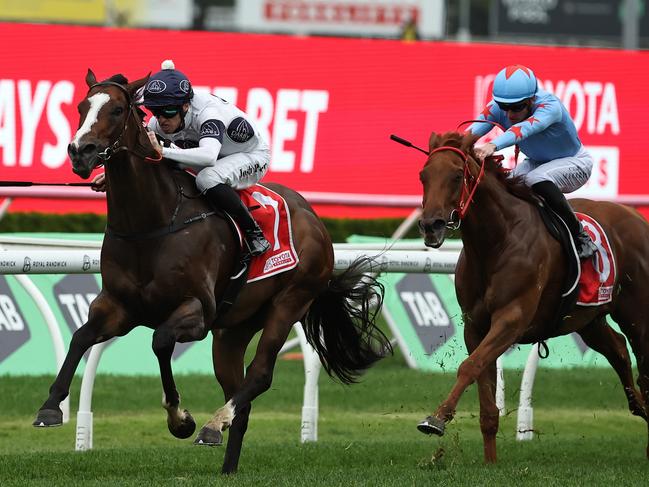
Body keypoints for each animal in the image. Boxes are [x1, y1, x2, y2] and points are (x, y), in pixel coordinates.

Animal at [33, 73, 390, 476]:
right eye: (82, 107)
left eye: (118, 109)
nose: (81, 151)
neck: (154, 223)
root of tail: (315, 220)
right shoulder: (118, 307)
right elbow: (81, 337)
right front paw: (50, 407)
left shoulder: (198, 312)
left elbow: (160, 341)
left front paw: (180, 419)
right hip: (232, 330)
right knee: (241, 396)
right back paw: (227, 464)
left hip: (290, 302)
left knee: (259, 374)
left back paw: (213, 424)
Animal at [416, 132, 648, 464]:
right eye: (423, 176)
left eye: (457, 176)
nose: (430, 226)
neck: (496, 241)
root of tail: (636, 216)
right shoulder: (475, 326)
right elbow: (482, 383)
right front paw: (490, 462)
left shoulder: (512, 319)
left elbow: (469, 367)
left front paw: (436, 419)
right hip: (586, 318)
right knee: (617, 349)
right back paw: (640, 406)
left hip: (637, 315)